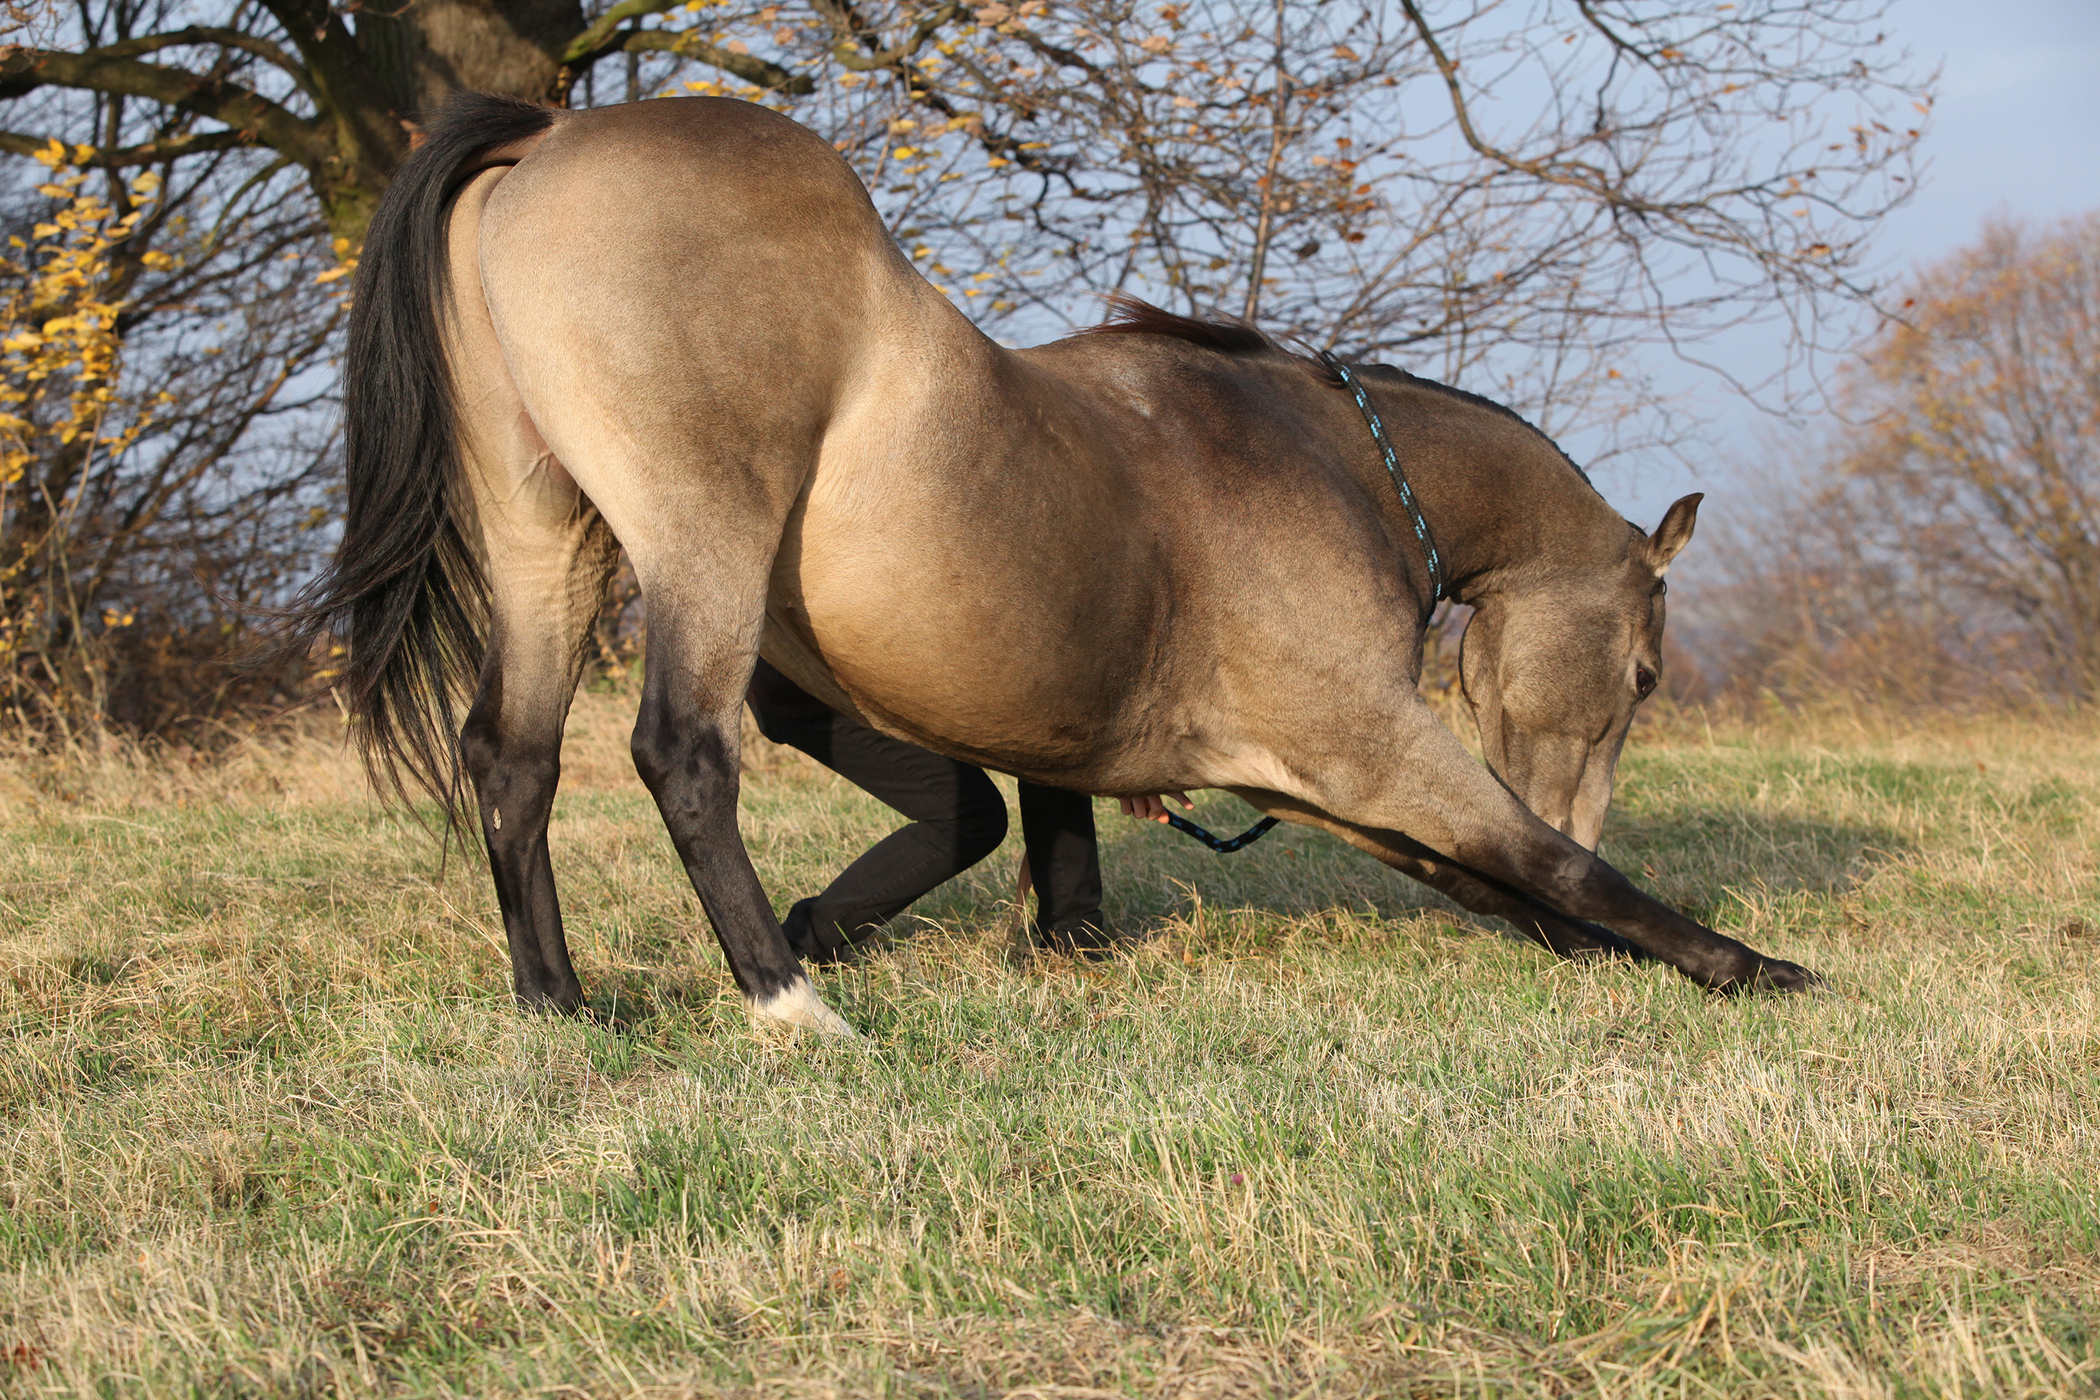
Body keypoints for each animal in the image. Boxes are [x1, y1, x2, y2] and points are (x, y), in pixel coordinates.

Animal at [296, 92, 1817, 1036]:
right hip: (699, 542)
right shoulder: (1378, 745)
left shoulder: (1319, 782)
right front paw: (1756, 967)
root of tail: (546, 139)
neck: (1324, 454)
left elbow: (1500, 885)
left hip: (544, 542)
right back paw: (791, 1004)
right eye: (1645, 673)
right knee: (682, 751)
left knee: (512, 755)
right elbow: (1547, 872)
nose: (1590, 804)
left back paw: (562, 1001)